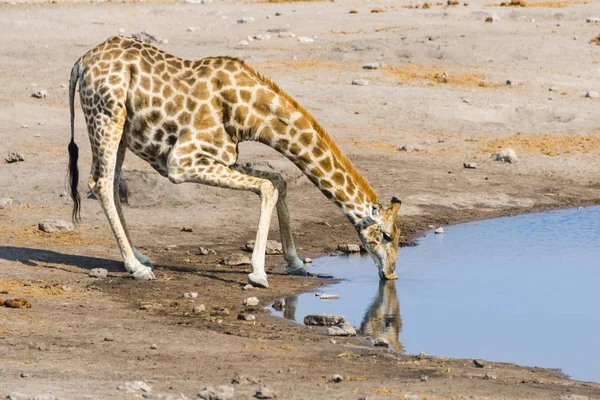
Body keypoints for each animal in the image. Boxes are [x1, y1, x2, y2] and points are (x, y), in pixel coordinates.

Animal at [68, 36, 400, 288]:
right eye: (386, 235)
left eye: (397, 236)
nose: (391, 273)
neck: (249, 113)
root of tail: (81, 62)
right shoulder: (180, 162)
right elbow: (267, 187)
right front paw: (258, 274)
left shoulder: (222, 157)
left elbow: (277, 180)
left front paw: (295, 263)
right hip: (107, 117)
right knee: (100, 183)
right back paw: (136, 268)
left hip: (122, 132)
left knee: (110, 184)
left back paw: (139, 256)